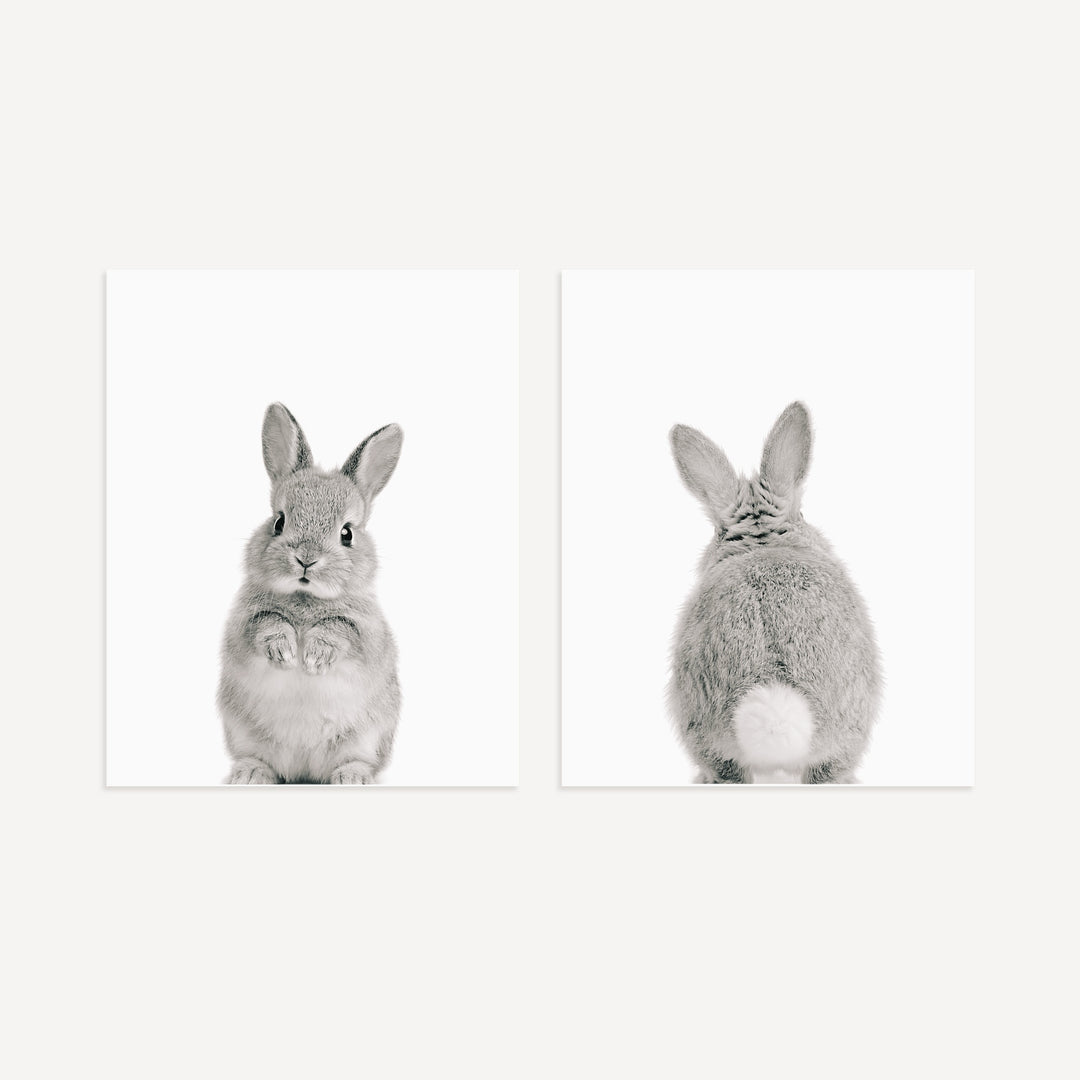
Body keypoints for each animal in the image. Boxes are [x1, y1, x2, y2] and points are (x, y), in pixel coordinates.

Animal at [217, 403, 403, 784]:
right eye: (278, 522)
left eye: (347, 533)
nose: (306, 559)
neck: (306, 598)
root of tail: (303, 771)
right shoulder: (245, 624)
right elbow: (267, 624)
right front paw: (285, 652)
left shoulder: (365, 632)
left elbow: (339, 630)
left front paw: (314, 657)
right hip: (243, 733)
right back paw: (250, 773)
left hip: (367, 738)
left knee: (356, 760)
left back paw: (353, 778)